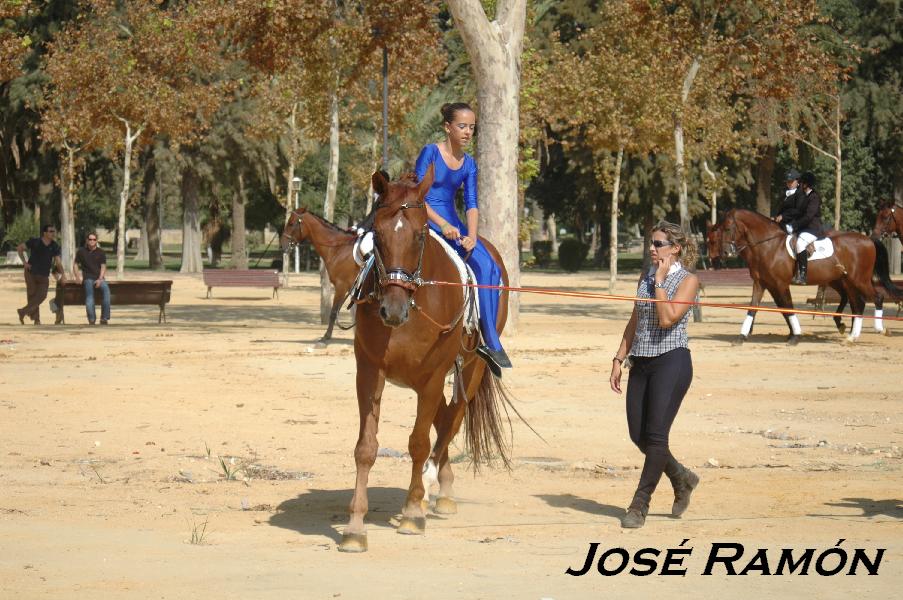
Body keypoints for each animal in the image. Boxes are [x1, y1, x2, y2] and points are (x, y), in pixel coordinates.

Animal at [280, 209, 358, 344]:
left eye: (291, 223)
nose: (283, 244)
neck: (339, 249)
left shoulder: (341, 286)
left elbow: (333, 312)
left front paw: (326, 336)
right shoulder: (350, 288)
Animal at [338, 165, 512, 552]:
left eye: (419, 237)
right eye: (377, 235)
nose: (392, 310)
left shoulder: (432, 377)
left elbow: (418, 443)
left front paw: (412, 511)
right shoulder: (368, 372)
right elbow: (365, 448)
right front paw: (355, 527)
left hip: (470, 370)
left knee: (452, 420)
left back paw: (431, 487)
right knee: (443, 419)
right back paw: (442, 487)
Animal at [716, 210, 900, 342]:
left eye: (728, 228)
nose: (725, 253)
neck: (768, 245)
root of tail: (868, 239)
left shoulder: (780, 284)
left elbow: (788, 307)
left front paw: (795, 336)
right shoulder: (762, 283)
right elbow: (753, 308)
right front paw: (742, 336)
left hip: (859, 280)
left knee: (877, 298)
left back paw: (880, 329)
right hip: (848, 281)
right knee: (858, 304)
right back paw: (851, 336)